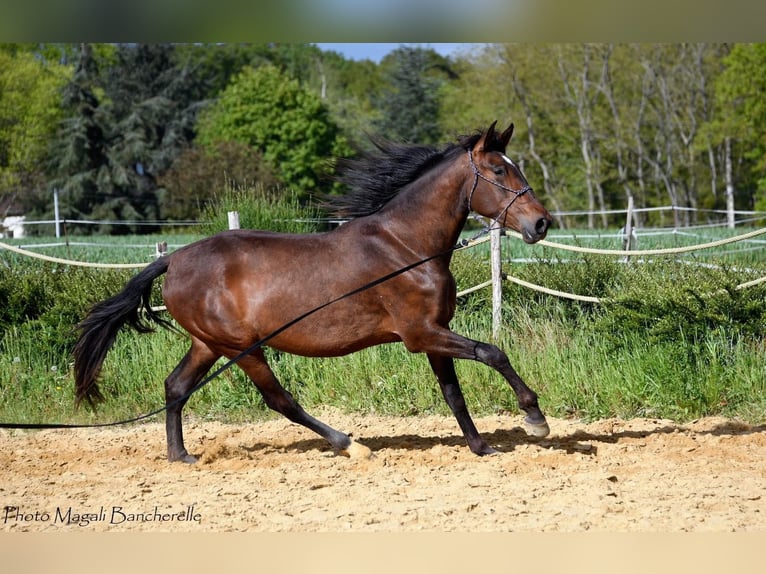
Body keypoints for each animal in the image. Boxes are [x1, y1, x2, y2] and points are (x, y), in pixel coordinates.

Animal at [73, 121, 552, 464]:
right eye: (499, 170)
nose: (541, 223)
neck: (406, 245)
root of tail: (174, 259)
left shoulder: (435, 332)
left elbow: (453, 392)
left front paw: (482, 447)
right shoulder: (421, 333)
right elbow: (493, 352)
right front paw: (535, 418)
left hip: (207, 343)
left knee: (175, 386)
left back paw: (180, 456)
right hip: (241, 347)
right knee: (278, 399)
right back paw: (349, 444)